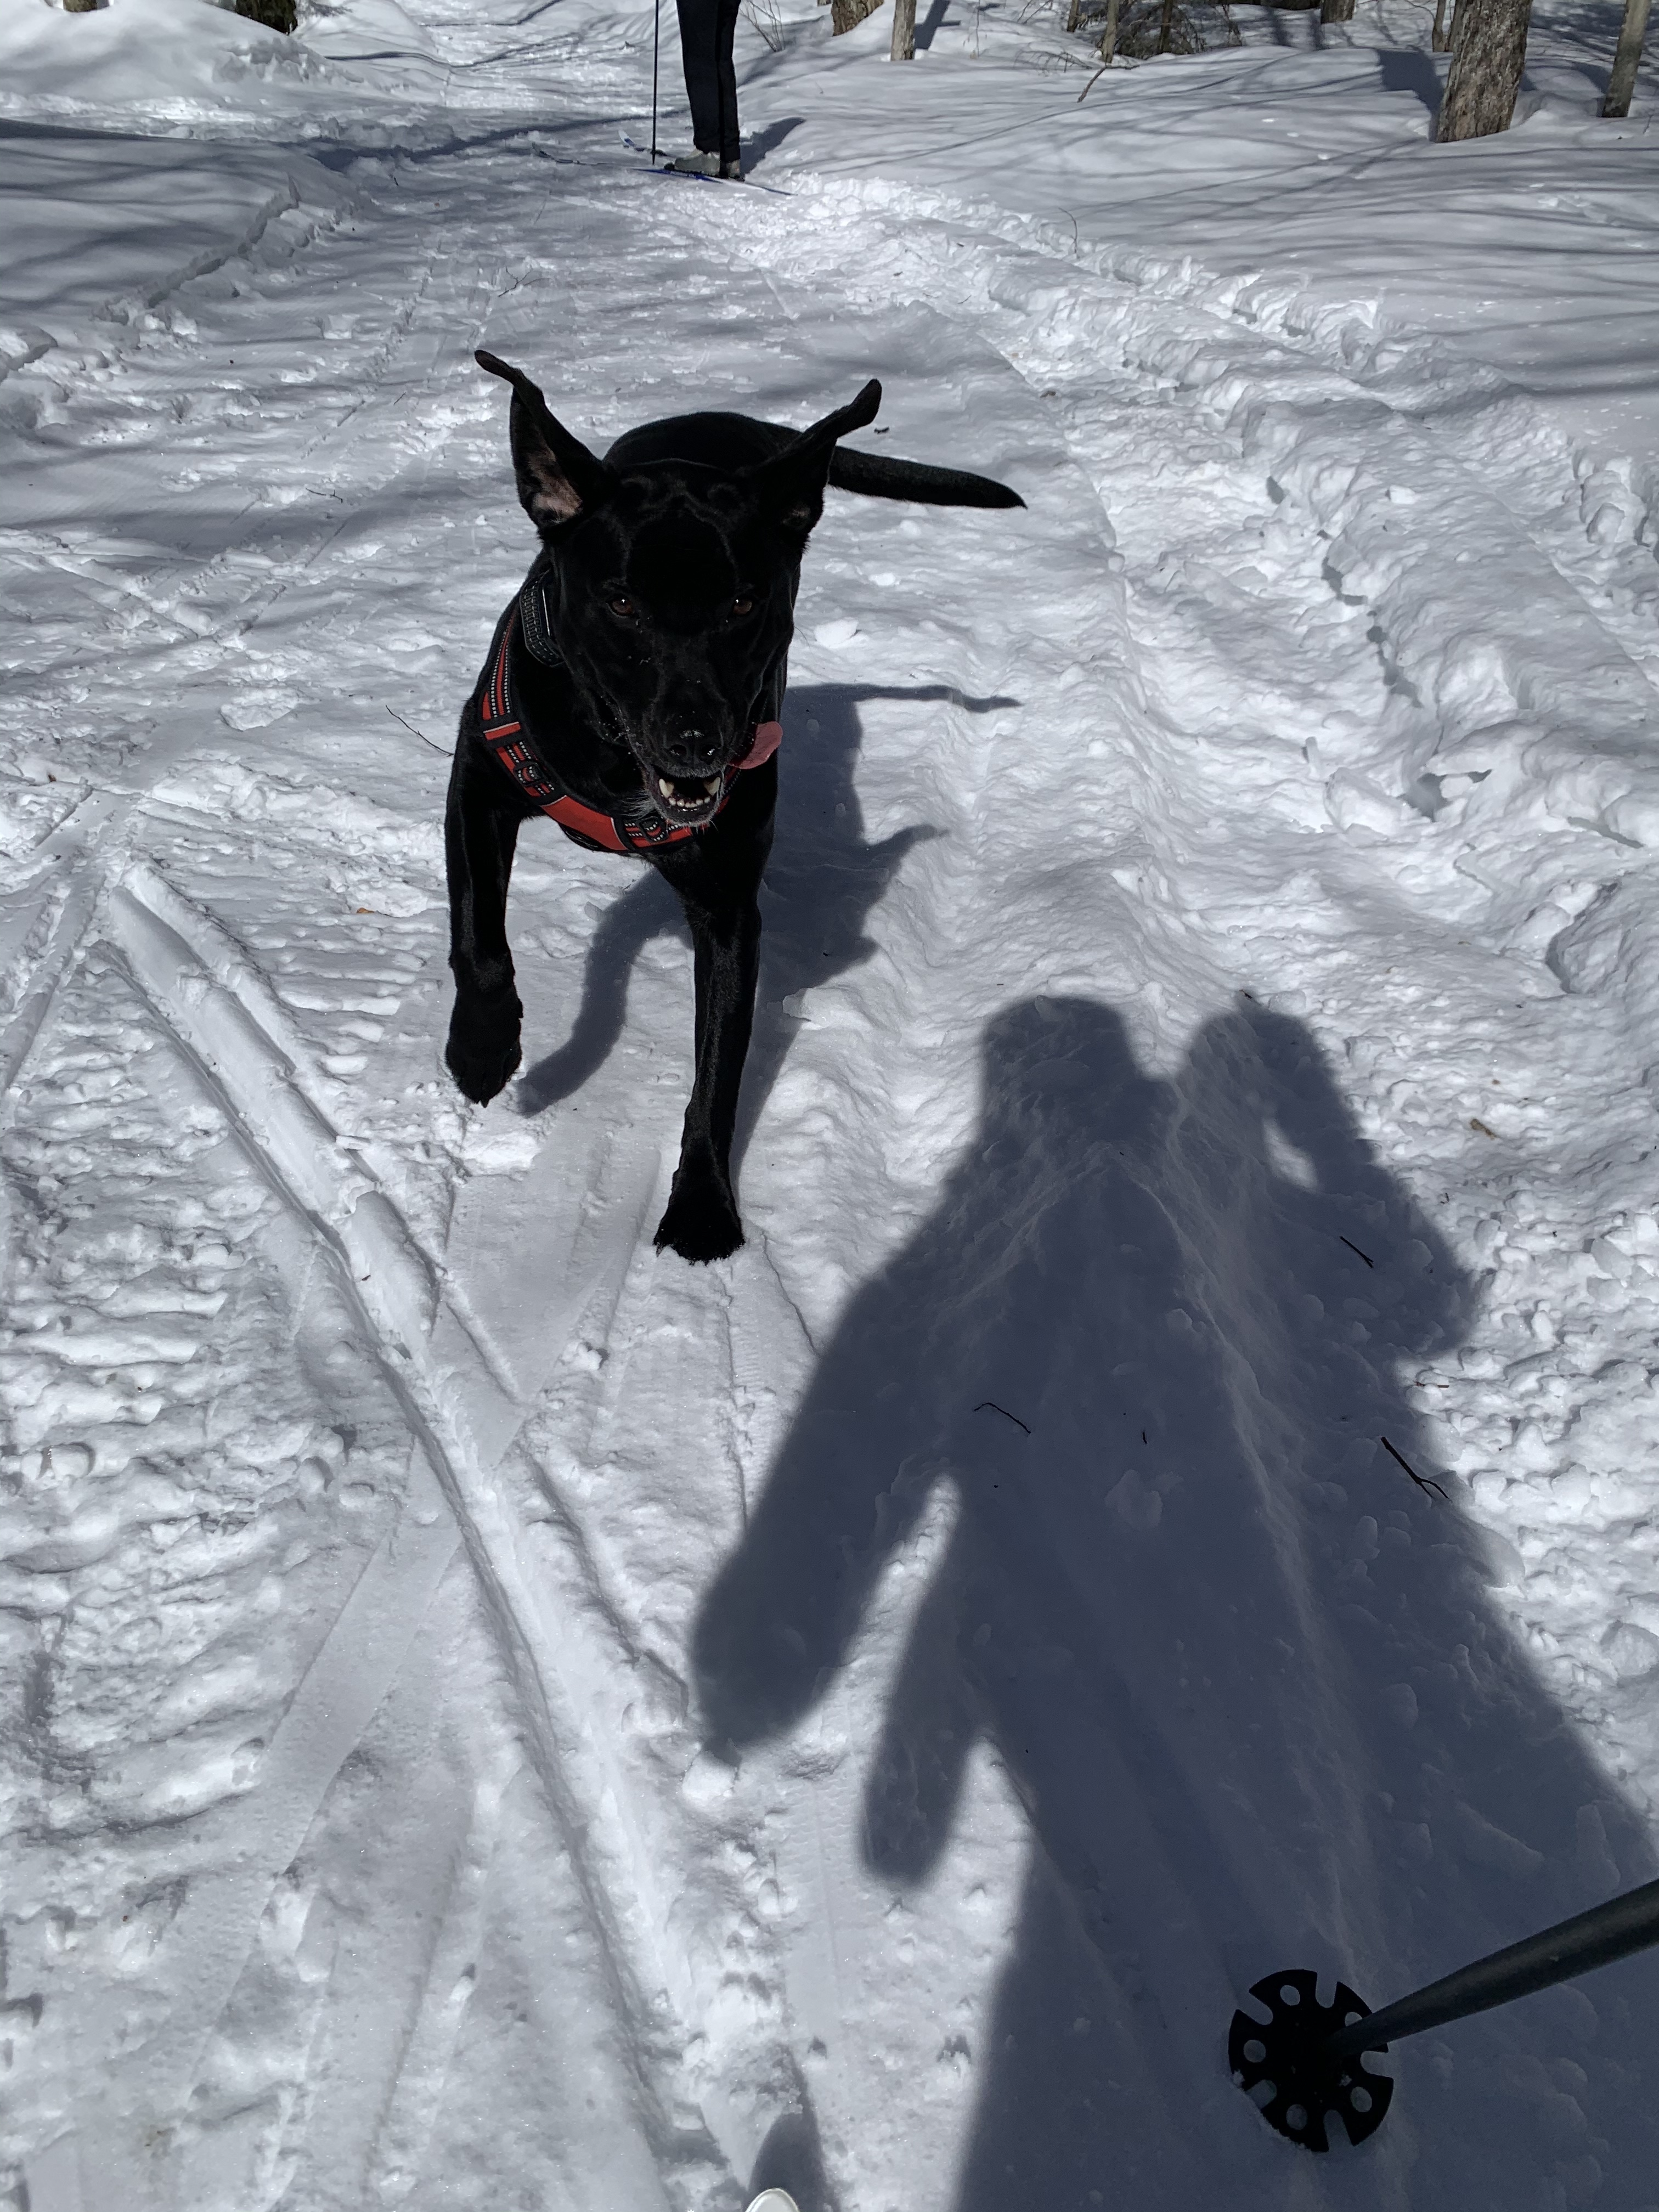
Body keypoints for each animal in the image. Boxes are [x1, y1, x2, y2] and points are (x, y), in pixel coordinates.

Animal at [442, 356, 1022, 1274]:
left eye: (745, 604)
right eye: (623, 603)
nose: (697, 740)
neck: (619, 762)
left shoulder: (727, 912)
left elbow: (717, 1073)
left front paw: (704, 1205)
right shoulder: (481, 773)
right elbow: (480, 942)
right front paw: (482, 1049)